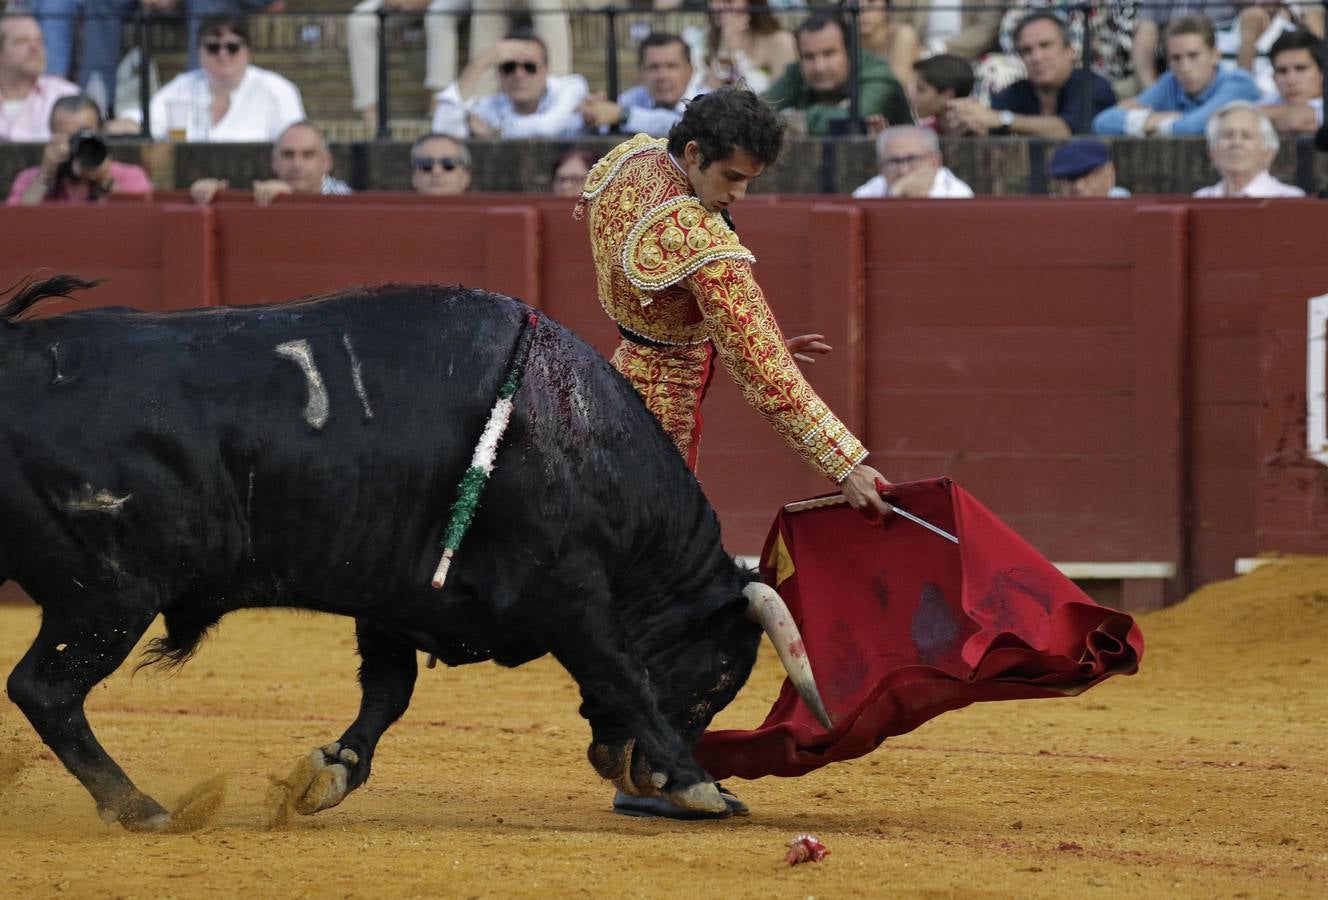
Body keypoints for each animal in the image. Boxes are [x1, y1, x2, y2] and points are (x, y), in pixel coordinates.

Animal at [0, 277, 828, 833]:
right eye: (719, 677)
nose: (640, 776)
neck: (573, 435)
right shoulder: (571, 596)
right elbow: (621, 676)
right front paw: (702, 787)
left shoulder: (392, 598)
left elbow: (387, 693)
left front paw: (329, 773)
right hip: (106, 597)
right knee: (45, 689)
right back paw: (141, 807)